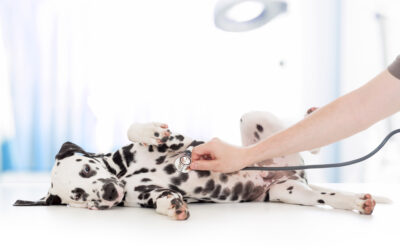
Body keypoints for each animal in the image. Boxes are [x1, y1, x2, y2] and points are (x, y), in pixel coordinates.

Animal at [14, 109, 390, 219]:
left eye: (88, 170)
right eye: (78, 196)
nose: (107, 194)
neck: (125, 174)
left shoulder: (182, 142)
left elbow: (140, 130)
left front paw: (150, 132)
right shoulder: (149, 193)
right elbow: (164, 198)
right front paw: (173, 207)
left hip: (255, 118)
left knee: (304, 133)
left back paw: (312, 116)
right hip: (293, 192)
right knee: (329, 196)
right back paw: (359, 201)